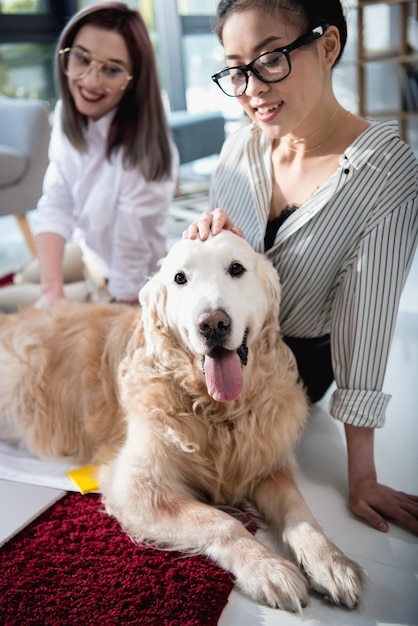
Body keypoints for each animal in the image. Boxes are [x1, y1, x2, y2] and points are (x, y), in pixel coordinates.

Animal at [0, 229, 362, 608]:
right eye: (179, 278)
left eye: (236, 268)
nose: (213, 324)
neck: (217, 411)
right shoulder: (136, 486)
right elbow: (220, 521)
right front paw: (267, 568)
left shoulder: (267, 461)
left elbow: (299, 511)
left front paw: (330, 561)